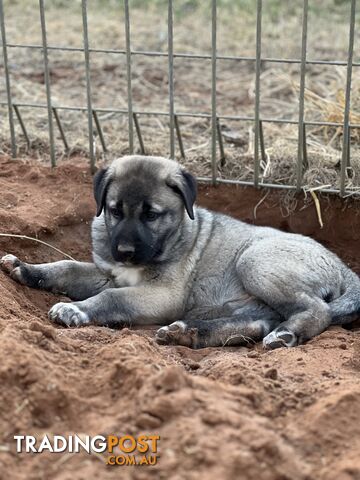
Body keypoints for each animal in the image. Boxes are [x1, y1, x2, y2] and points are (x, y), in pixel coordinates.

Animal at [1, 155, 358, 348]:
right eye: (114, 210)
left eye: (151, 215)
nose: (124, 251)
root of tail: (342, 266)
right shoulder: (108, 272)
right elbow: (68, 267)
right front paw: (27, 269)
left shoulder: (162, 294)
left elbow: (111, 298)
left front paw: (75, 309)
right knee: (258, 323)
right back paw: (187, 333)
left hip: (255, 261)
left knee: (317, 311)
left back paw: (284, 334)